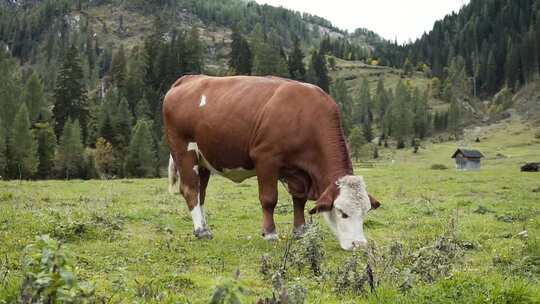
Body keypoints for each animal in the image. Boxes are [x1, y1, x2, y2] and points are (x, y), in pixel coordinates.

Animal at [163, 75, 380, 251]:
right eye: (342, 213)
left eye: (365, 212)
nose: (360, 244)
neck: (304, 116)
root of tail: (189, 78)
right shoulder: (266, 158)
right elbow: (269, 198)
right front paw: (270, 233)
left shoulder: (298, 173)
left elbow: (299, 200)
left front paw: (300, 231)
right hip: (184, 151)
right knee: (190, 190)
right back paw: (201, 230)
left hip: (203, 160)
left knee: (201, 193)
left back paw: (205, 227)